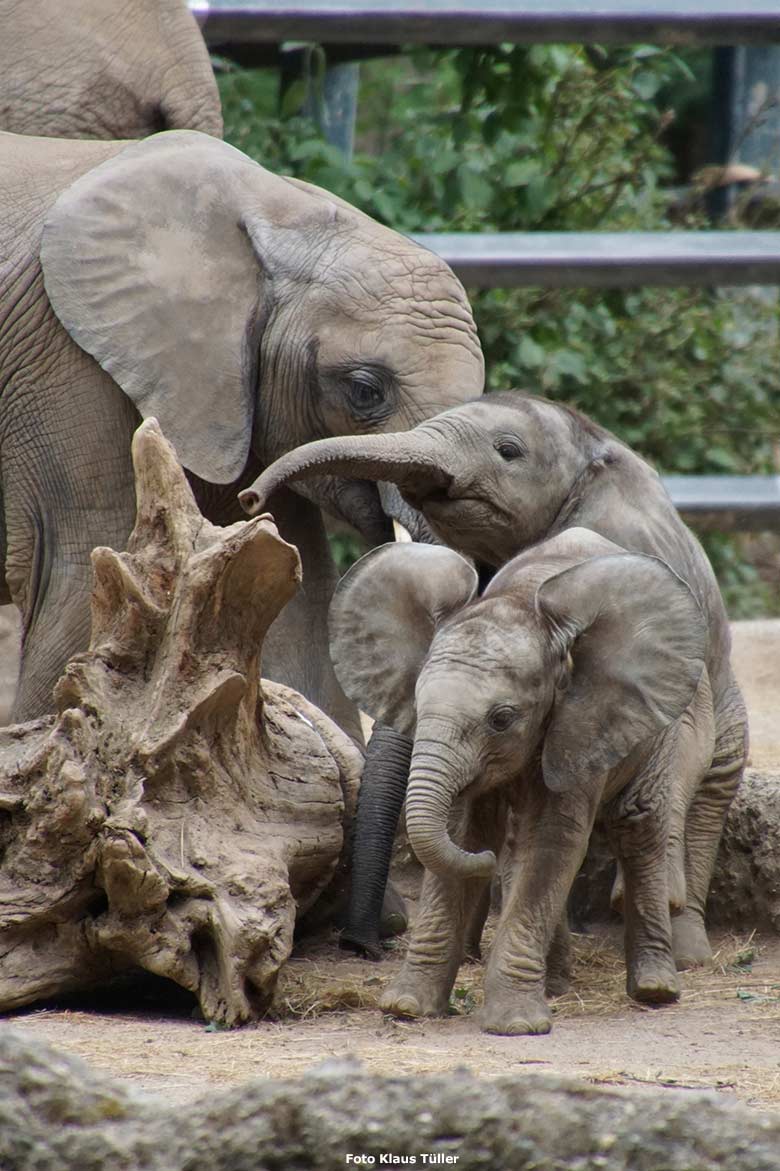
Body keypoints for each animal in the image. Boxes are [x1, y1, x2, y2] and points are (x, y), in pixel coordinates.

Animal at [0, 130, 482, 730]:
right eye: (366, 391)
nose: (256, 498)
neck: (279, 211)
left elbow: (297, 609)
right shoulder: (65, 366)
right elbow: (77, 581)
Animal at [241, 393, 749, 960]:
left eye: (508, 451)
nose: (251, 498)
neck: (589, 446)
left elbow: (685, 729)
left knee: (712, 778)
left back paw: (685, 948)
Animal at [327, 529, 712, 1035]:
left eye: (502, 719)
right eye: (418, 703)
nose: (485, 862)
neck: (521, 602)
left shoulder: (578, 725)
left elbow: (550, 841)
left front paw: (515, 1025)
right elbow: (462, 832)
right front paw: (407, 1008)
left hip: (661, 713)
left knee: (639, 822)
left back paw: (654, 991)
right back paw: (557, 986)